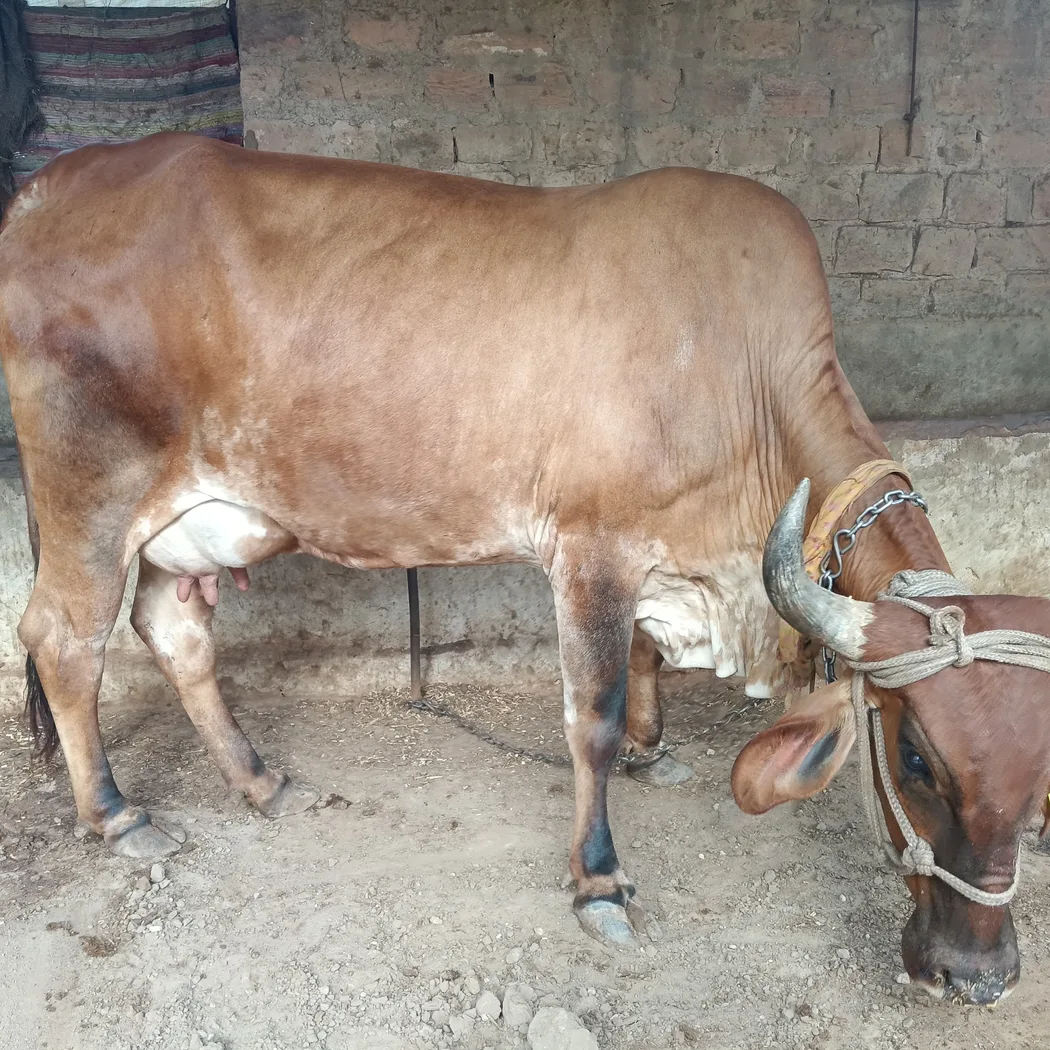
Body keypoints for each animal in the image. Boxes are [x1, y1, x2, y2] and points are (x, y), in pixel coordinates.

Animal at [2, 133, 1049, 1006]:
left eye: (1041, 783)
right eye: (915, 758)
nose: (978, 977)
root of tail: (48, 189)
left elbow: (641, 669)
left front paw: (654, 750)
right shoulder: (590, 549)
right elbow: (591, 717)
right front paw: (599, 877)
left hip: (185, 528)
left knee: (175, 634)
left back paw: (259, 782)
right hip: (92, 500)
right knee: (64, 641)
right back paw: (118, 815)